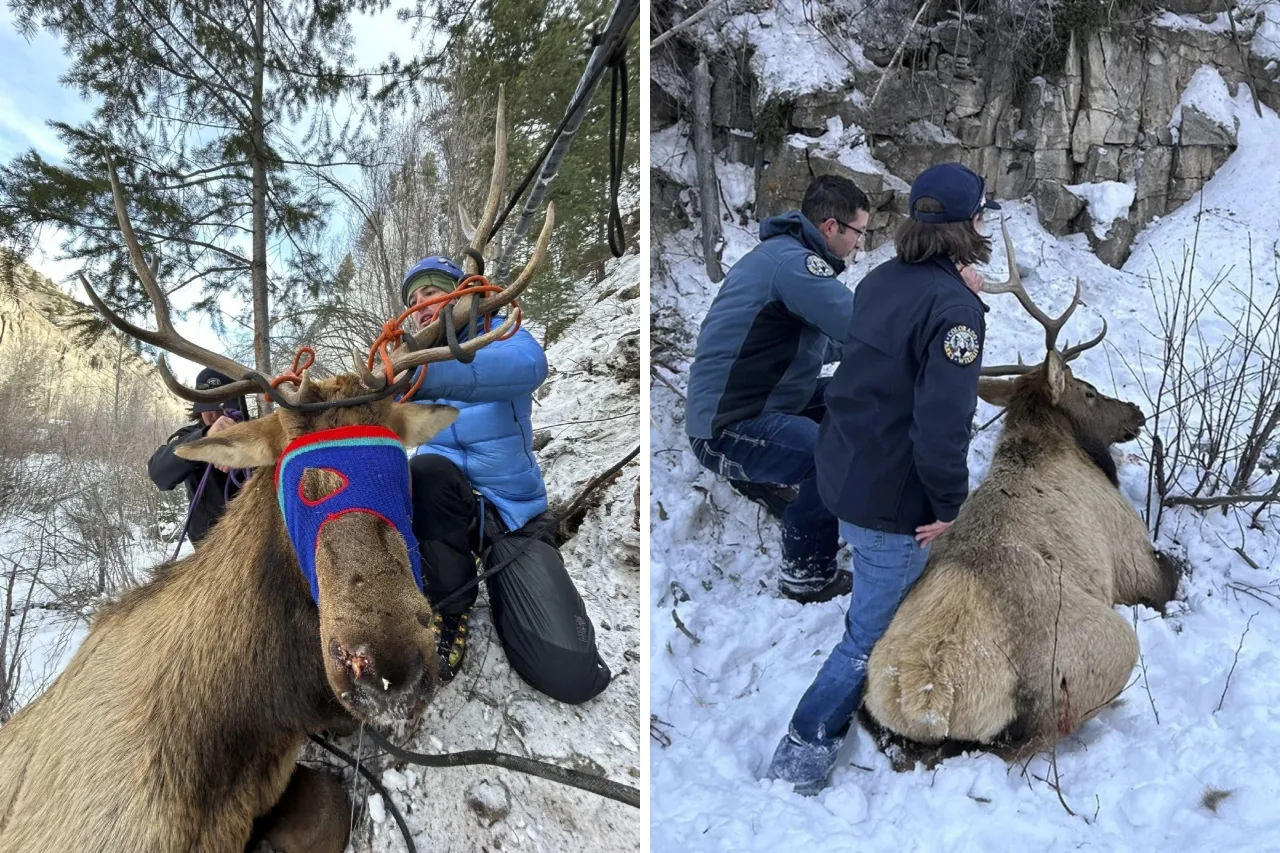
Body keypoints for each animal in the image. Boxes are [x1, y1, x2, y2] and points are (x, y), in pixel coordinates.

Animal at [860, 220, 1177, 763]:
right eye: (1088, 390)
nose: (1135, 412)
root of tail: (928, 700)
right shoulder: (1133, 555)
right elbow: (1172, 574)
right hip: (1107, 650)